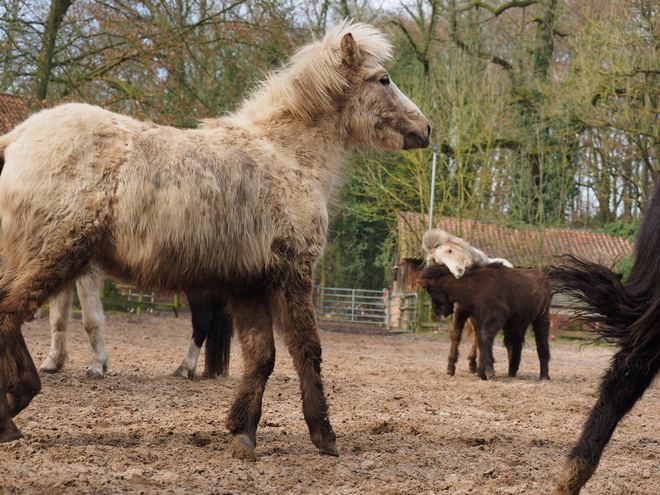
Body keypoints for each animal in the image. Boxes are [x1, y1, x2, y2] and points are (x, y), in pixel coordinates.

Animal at [0, 20, 430, 462]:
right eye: (384, 79)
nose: (425, 128)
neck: (288, 157)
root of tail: (17, 136)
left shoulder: (251, 283)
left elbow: (262, 357)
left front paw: (243, 433)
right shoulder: (293, 274)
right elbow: (306, 349)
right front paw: (324, 436)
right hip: (53, 255)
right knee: (7, 315)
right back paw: (16, 404)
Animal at [422, 266, 552, 382]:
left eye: (431, 290)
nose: (436, 310)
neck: (475, 285)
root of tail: (543, 277)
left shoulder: (495, 317)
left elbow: (485, 337)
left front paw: (489, 370)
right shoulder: (479, 319)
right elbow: (480, 341)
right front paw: (481, 373)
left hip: (541, 319)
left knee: (541, 343)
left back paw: (544, 376)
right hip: (517, 324)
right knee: (515, 344)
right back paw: (512, 372)